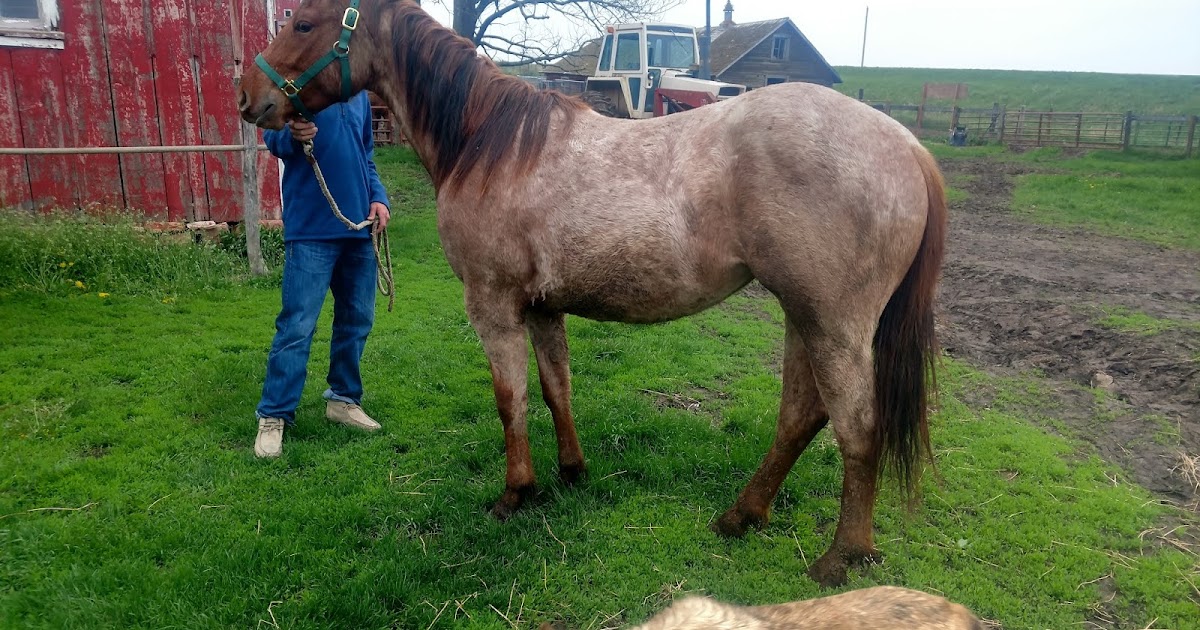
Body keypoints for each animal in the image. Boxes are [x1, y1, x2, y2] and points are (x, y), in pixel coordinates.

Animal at [239, 0, 947, 588]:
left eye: (305, 23)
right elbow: (557, 389)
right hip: (803, 316)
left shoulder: (494, 307)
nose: (250, 98)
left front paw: (516, 493)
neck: (491, 144)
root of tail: (907, 146)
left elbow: (512, 400)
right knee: (801, 415)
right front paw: (572, 473)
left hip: (832, 324)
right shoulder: (543, 308)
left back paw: (839, 557)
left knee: (856, 427)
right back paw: (741, 516)